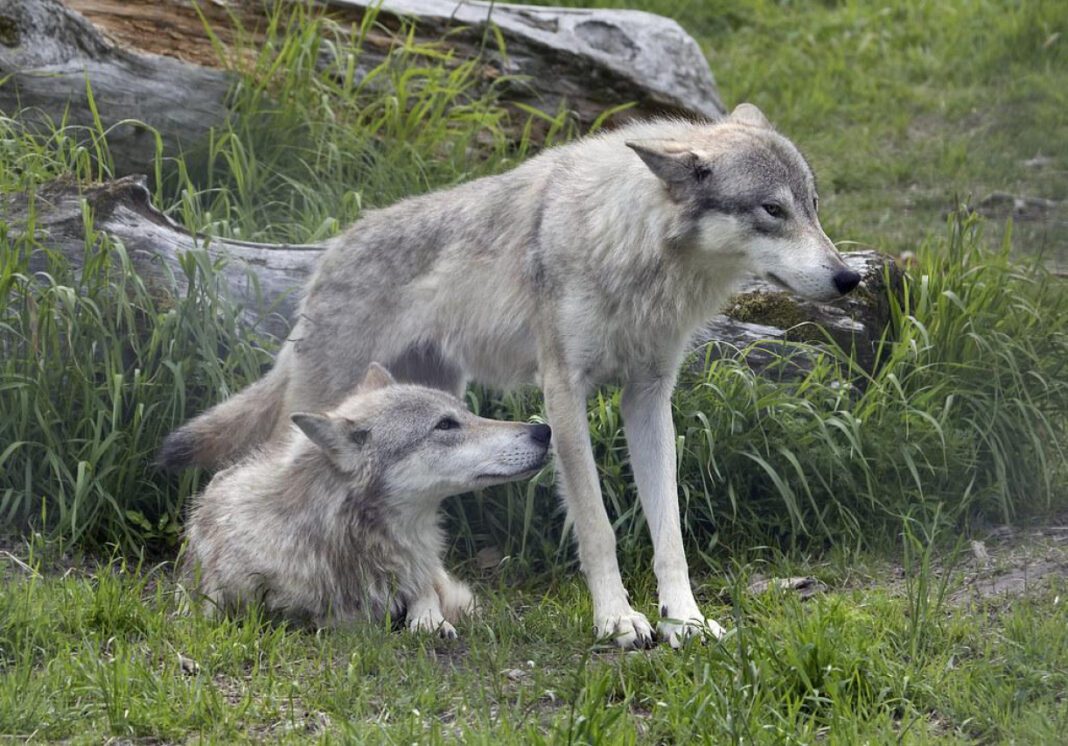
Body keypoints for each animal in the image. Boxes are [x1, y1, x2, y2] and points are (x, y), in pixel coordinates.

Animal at [184, 363, 552, 636]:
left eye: (468, 413)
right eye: (445, 425)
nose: (544, 430)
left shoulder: (422, 571)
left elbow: (426, 593)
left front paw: (431, 621)